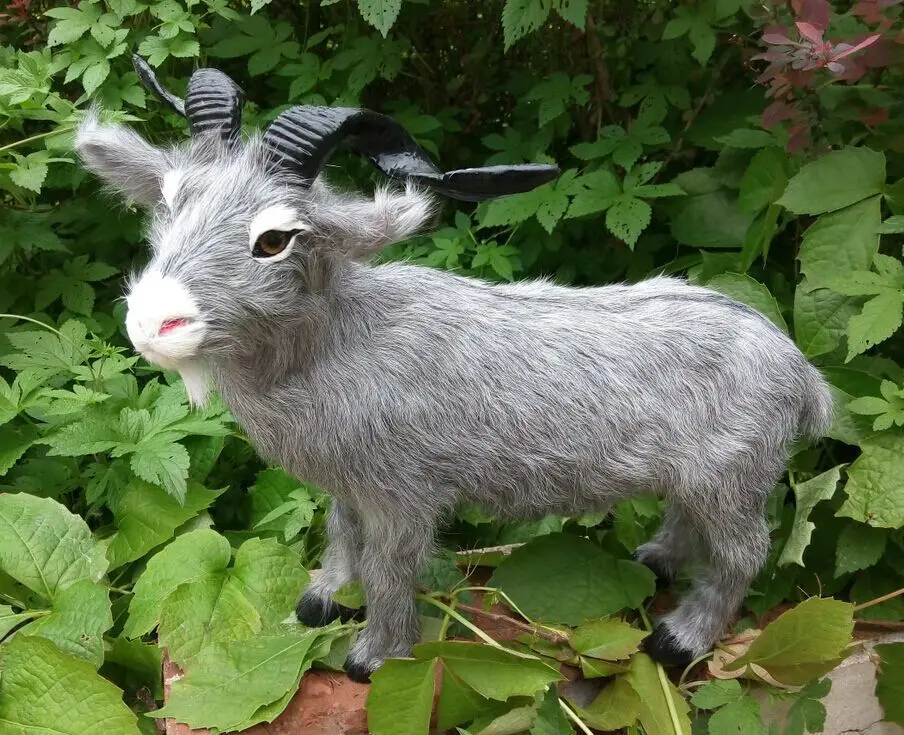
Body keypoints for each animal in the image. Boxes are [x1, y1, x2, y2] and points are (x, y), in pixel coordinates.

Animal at [76, 57, 834, 683]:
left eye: (274, 239)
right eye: (168, 203)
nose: (153, 321)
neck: (338, 342)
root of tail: (800, 373)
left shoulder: (401, 493)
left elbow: (388, 571)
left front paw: (375, 655)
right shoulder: (348, 485)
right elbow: (342, 535)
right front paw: (324, 598)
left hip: (733, 477)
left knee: (742, 554)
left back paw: (681, 639)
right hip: (701, 477)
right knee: (687, 522)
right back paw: (653, 561)